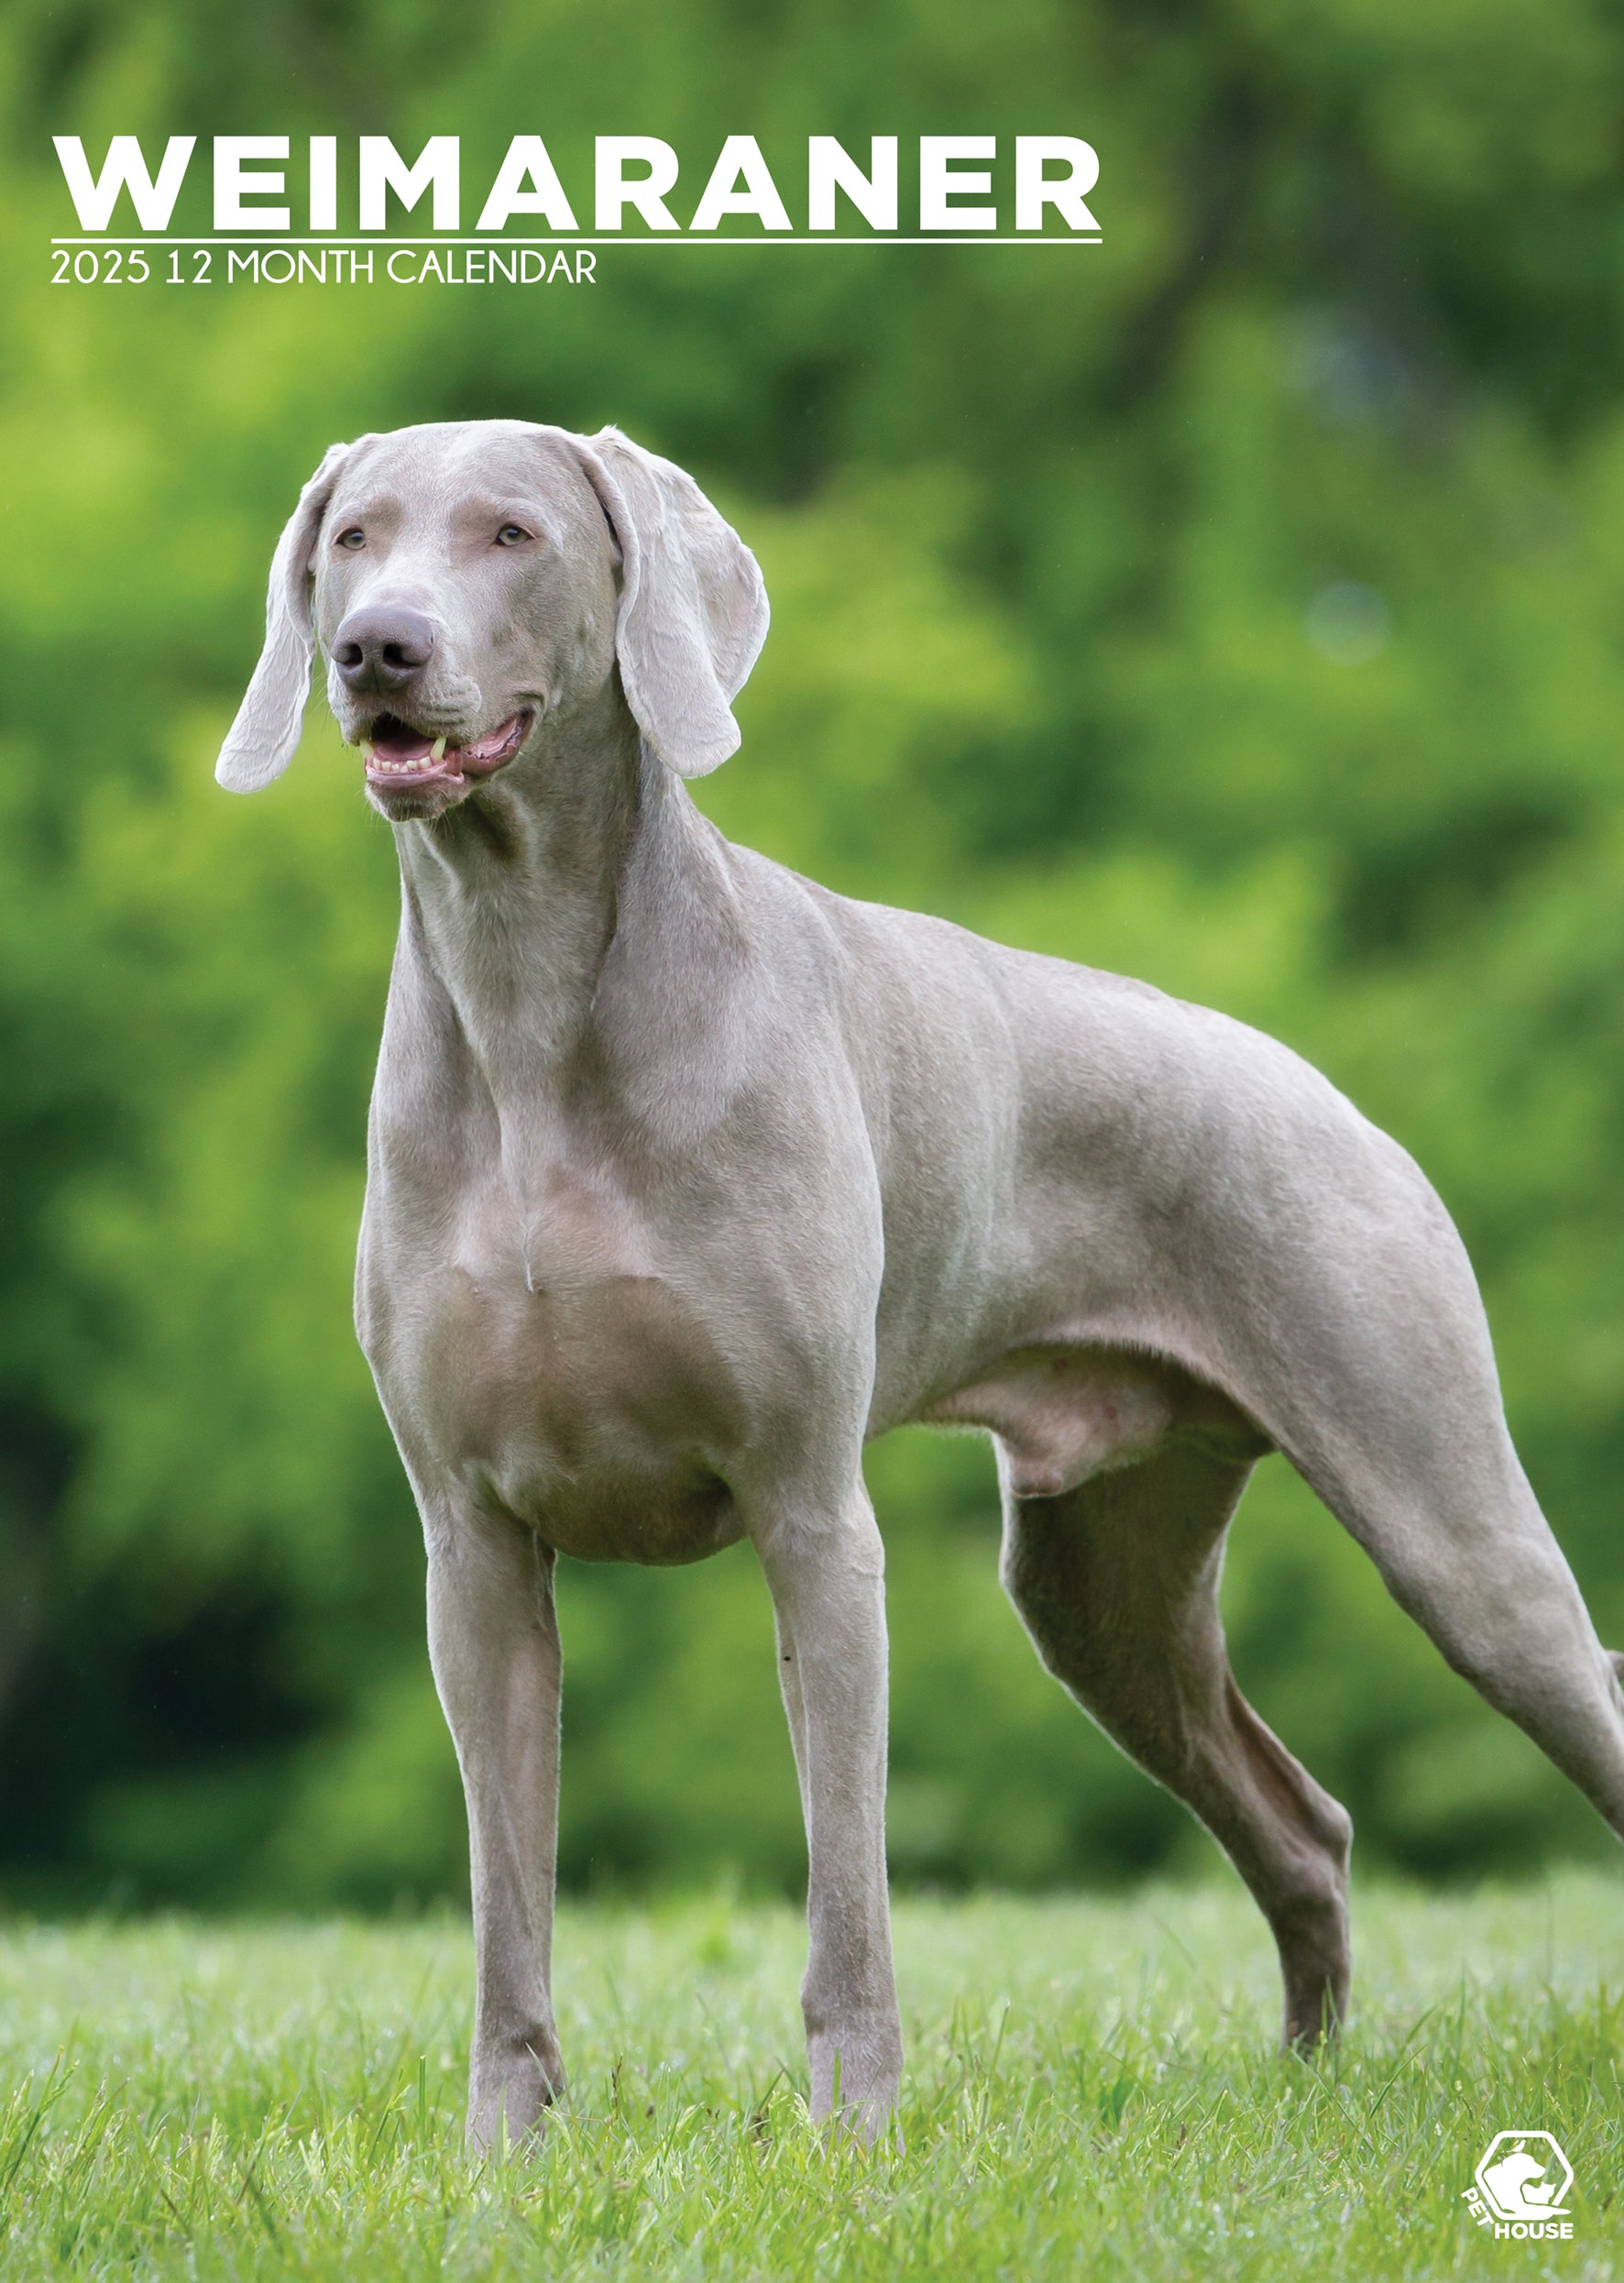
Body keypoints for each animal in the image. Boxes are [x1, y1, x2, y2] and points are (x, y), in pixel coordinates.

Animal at [215, 420, 1624, 2146]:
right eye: (352, 537)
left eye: (511, 533)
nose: (375, 649)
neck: (528, 995)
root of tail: (1323, 1087)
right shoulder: (470, 1542)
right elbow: (507, 1900)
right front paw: (504, 2150)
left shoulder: (810, 1509)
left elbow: (848, 1879)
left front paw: (852, 2133)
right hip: (1098, 1580)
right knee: (1302, 1822)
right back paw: (1305, 2083)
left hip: (1446, 1515)